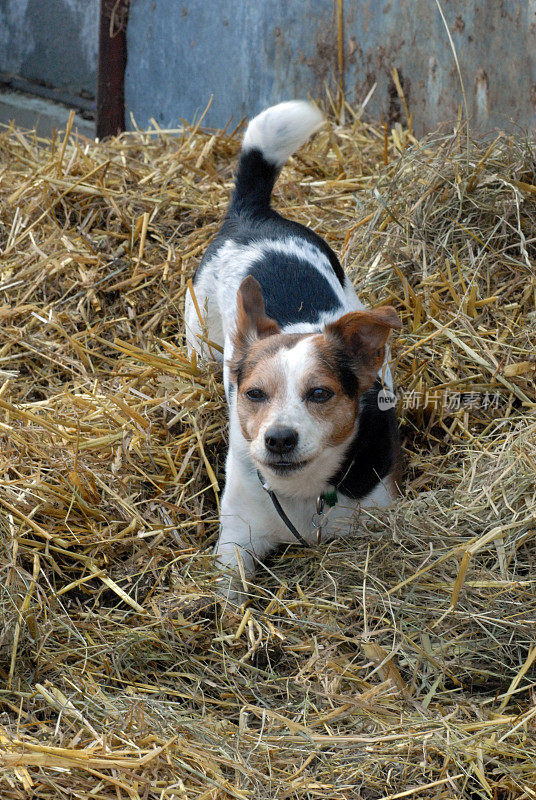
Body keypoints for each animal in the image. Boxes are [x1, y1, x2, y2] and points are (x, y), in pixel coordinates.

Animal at [186, 101, 400, 600]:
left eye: (320, 393)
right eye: (254, 394)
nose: (278, 439)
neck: (304, 491)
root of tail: (253, 215)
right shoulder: (238, 537)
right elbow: (230, 593)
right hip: (199, 334)